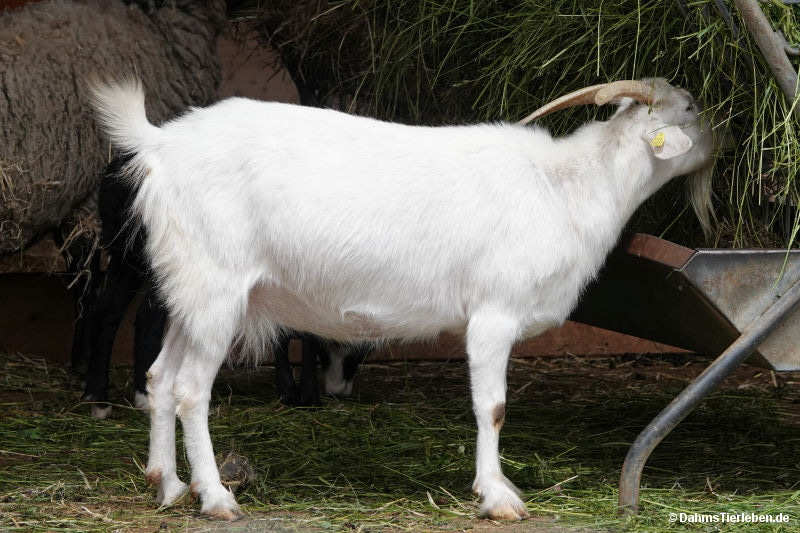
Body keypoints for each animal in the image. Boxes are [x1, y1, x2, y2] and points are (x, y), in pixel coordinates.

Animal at [89, 77, 715, 520]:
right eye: (690, 111)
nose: (725, 138)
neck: (566, 187)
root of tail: (160, 142)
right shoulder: (494, 314)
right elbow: (493, 407)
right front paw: (498, 498)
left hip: (189, 292)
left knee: (160, 377)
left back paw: (168, 485)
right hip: (217, 288)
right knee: (192, 390)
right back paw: (216, 498)